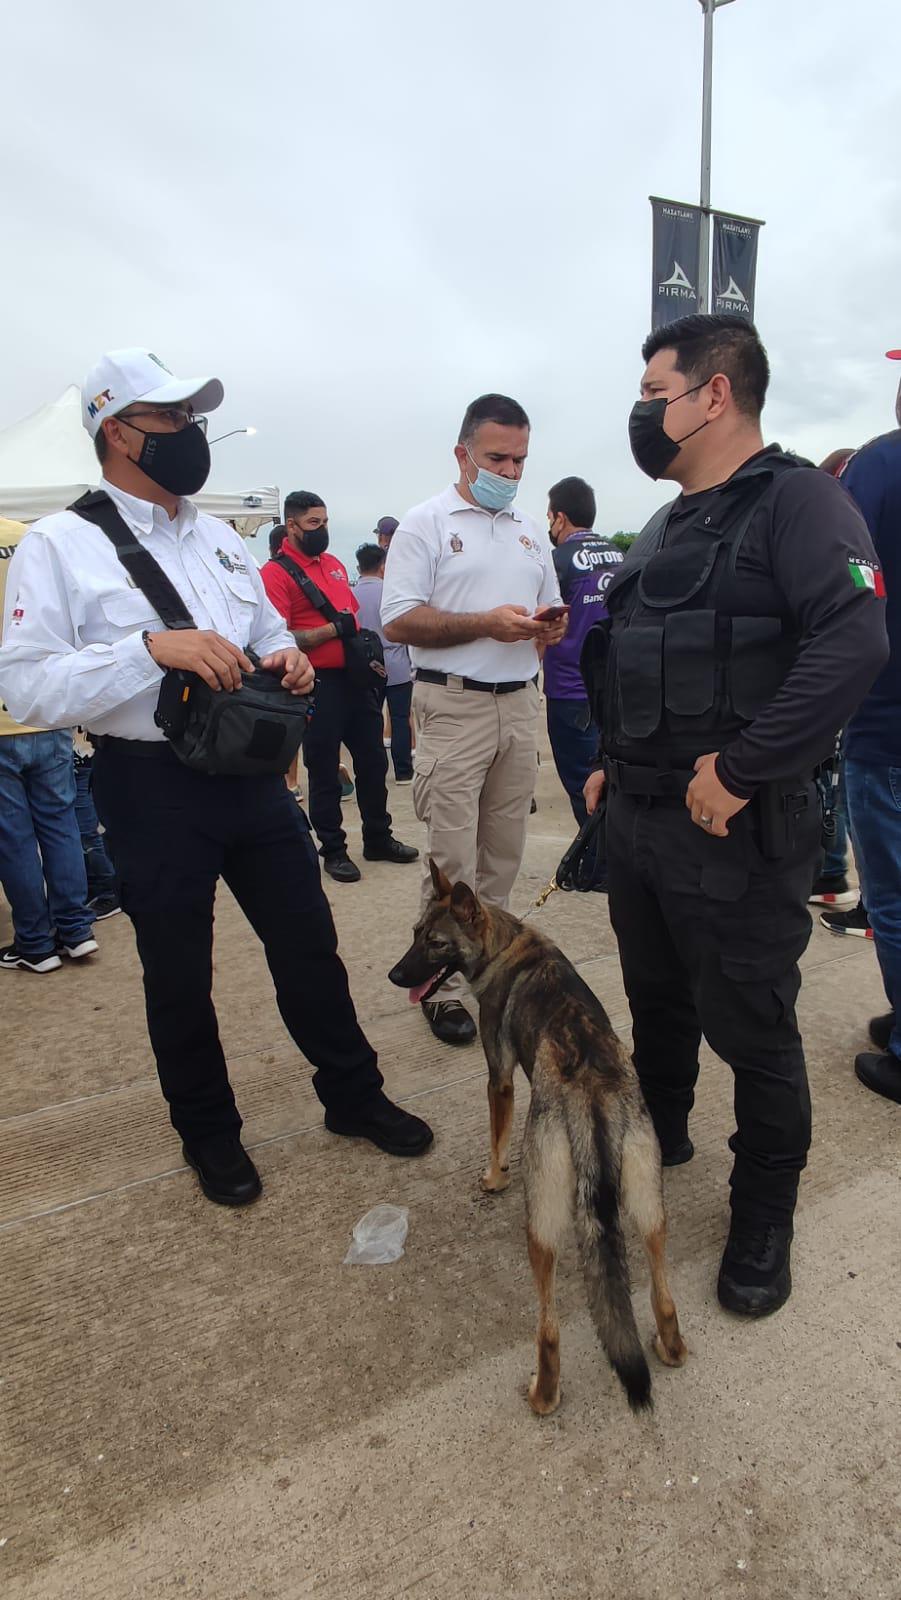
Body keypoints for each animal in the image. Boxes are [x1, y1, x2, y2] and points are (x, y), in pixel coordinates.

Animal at [384, 864, 688, 1414]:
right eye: (415, 933)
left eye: (436, 944)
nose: (396, 977)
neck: (505, 944)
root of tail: (592, 1099)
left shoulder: (499, 1079)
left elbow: (497, 1135)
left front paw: (493, 1177)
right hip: (649, 1204)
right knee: (664, 1296)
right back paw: (669, 1347)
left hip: (542, 1227)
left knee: (549, 1329)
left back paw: (543, 1394)